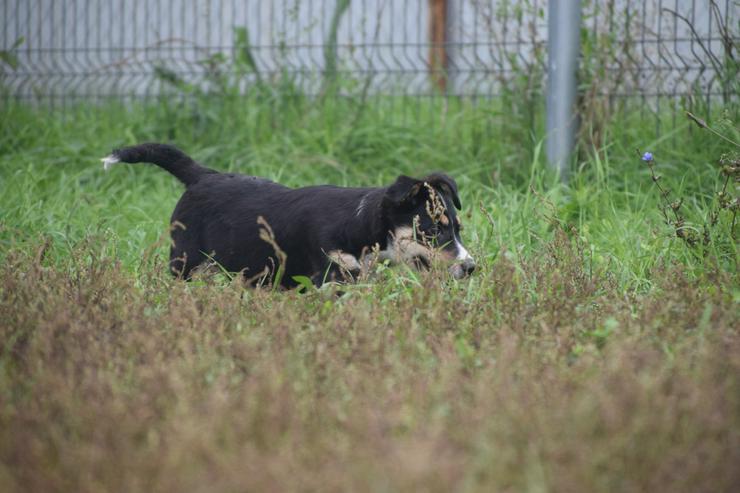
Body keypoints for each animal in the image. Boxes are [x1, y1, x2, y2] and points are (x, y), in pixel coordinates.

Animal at [102, 142, 474, 286]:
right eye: (434, 231)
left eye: (458, 229)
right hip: (185, 264)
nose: (471, 267)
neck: (359, 225)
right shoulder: (329, 278)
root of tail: (202, 176)